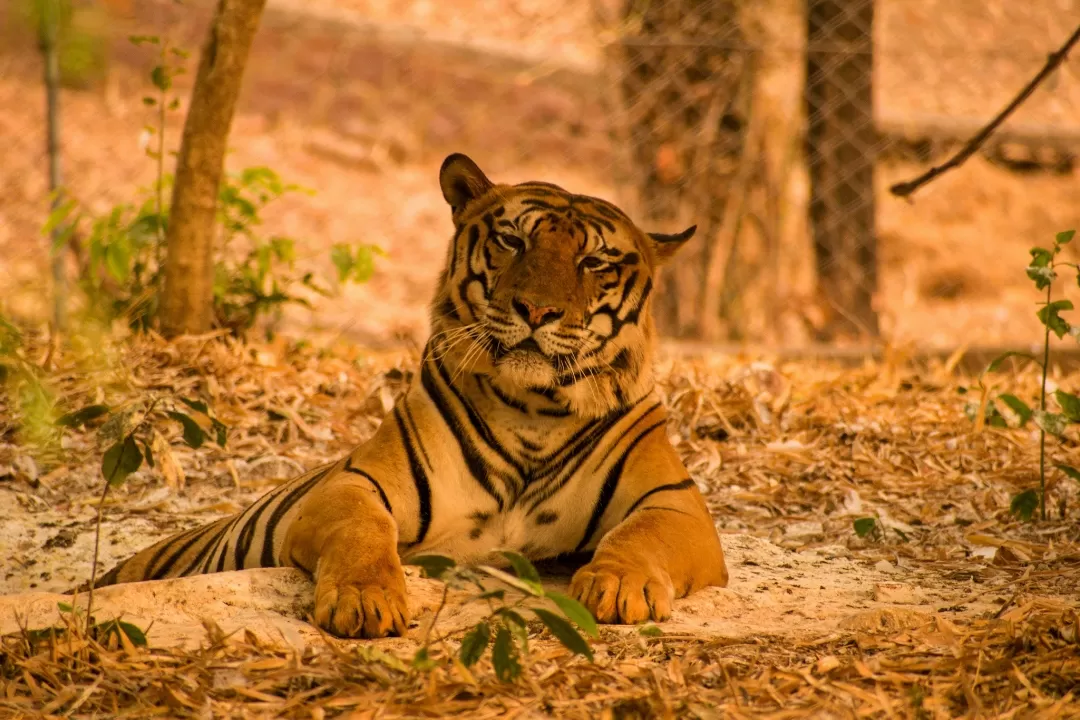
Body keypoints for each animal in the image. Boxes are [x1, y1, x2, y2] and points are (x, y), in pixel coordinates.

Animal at [92, 155, 730, 639]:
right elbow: (363, 533)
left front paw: (618, 585)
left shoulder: (675, 503)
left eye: (593, 261)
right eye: (511, 240)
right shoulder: (354, 482)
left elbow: (637, 535)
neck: (535, 408)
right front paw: (365, 599)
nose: (536, 310)